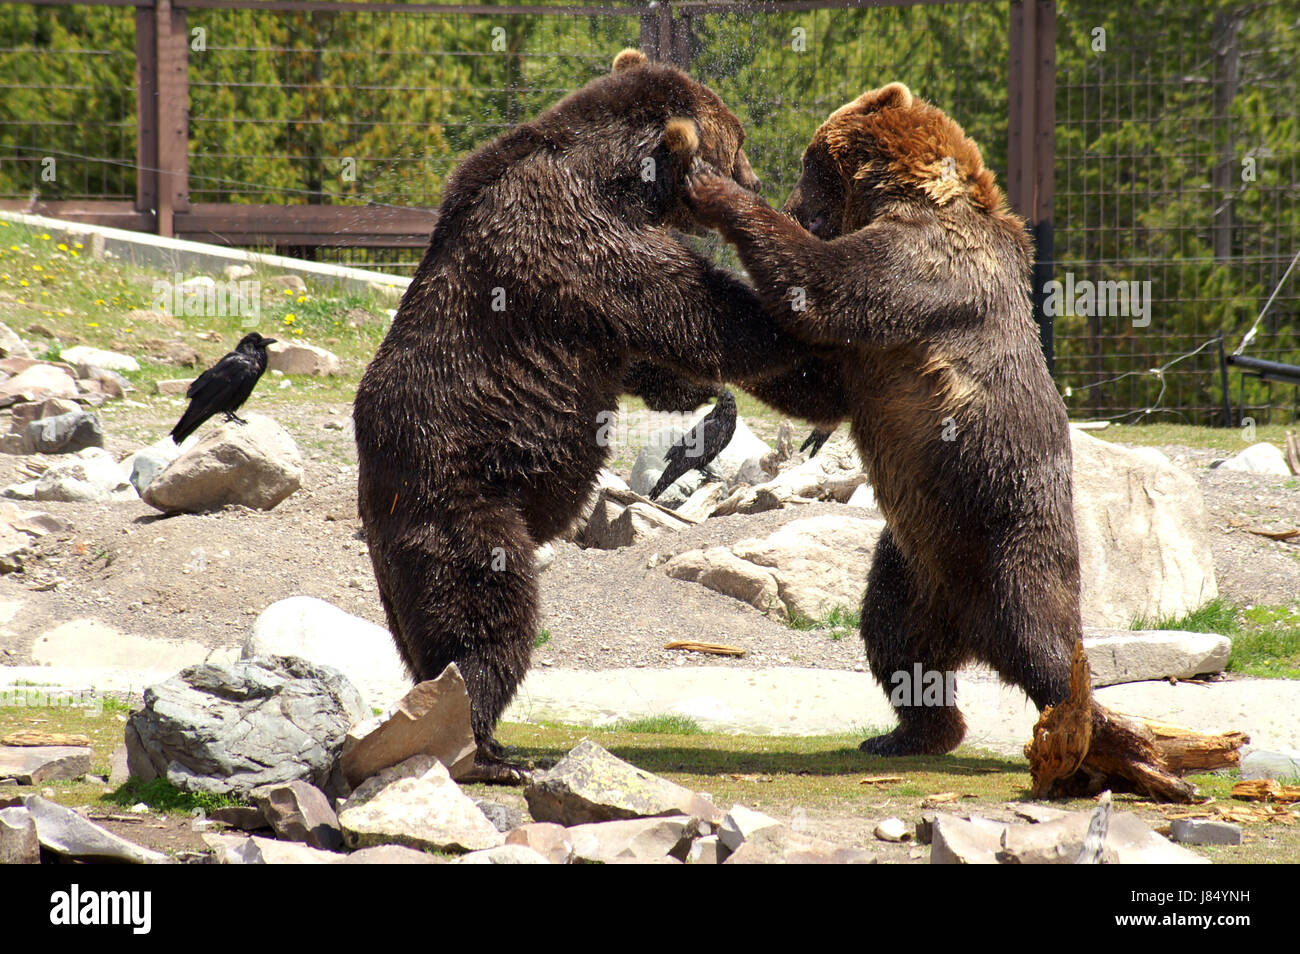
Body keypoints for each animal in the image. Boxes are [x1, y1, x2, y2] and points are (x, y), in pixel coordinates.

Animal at [353, 49, 841, 780]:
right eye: (739, 141)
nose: (755, 177)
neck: (621, 178)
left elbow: (648, 352)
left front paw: (691, 390)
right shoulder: (583, 243)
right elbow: (699, 311)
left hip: (402, 568)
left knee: (426, 645)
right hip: (462, 502)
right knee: (487, 617)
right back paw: (486, 745)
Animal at [685, 82, 1082, 756]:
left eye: (808, 163)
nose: (793, 203)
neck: (897, 197)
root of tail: (972, 631)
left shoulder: (925, 265)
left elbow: (824, 284)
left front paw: (712, 189)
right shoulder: (865, 361)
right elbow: (818, 387)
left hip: (1008, 527)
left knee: (1044, 635)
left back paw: (1087, 727)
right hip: (911, 563)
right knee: (894, 641)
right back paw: (914, 732)